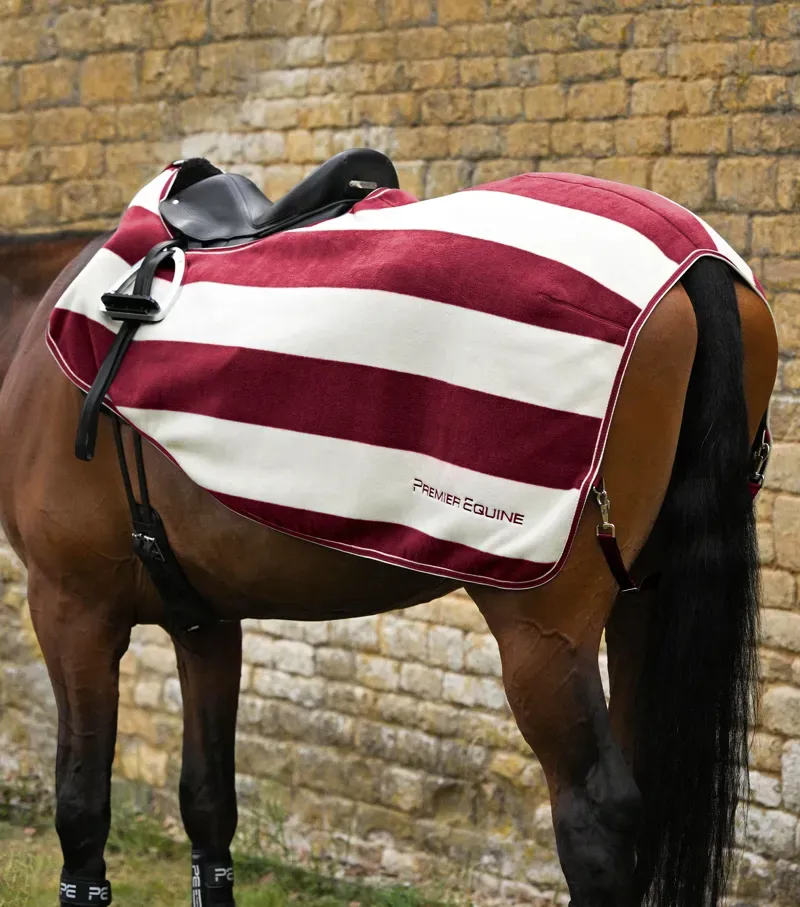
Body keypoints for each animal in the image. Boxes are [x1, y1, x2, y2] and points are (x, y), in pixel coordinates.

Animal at [0, 177, 779, 907]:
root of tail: (695, 263)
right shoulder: (206, 621)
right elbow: (208, 805)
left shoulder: (71, 609)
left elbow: (81, 809)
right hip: (644, 602)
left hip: (545, 632)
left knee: (599, 817)